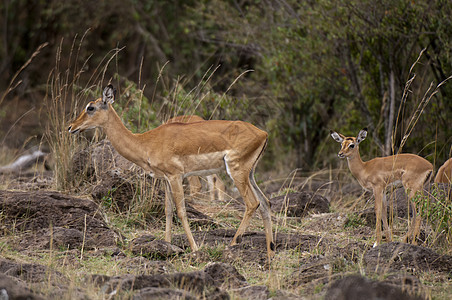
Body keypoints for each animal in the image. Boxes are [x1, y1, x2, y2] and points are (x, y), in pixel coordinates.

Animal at [68, 85, 276, 258]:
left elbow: (181, 211)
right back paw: (270, 253)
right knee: (265, 203)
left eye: (90, 107)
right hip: (249, 174)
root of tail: (263, 133)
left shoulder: (176, 176)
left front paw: (194, 248)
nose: (71, 127)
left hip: (237, 171)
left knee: (252, 203)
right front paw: (167, 245)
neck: (145, 142)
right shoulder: (165, 179)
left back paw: (233, 244)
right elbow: (168, 211)